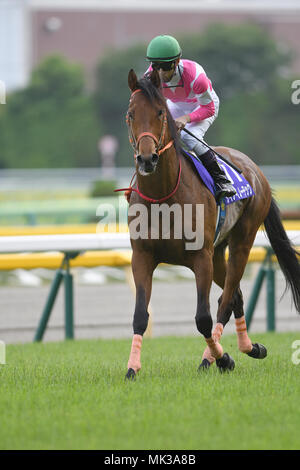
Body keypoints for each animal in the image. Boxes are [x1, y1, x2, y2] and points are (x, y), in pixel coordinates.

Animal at [122, 68, 300, 380]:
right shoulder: (142, 256)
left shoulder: (200, 258)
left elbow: (203, 318)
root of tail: (255, 169)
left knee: (226, 300)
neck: (164, 197)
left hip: (241, 242)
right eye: (131, 114)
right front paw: (132, 369)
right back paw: (249, 347)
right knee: (235, 295)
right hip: (218, 253)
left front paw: (223, 359)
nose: (146, 159)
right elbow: (140, 315)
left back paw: (215, 358)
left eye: (160, 112)